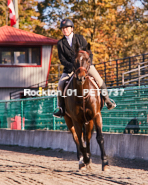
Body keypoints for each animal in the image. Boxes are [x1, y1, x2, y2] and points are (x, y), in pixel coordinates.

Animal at [62, 42, 108, 171]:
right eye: (74, 60)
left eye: (88, 60)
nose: (80, 78)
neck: (82, 94)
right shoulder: (76, 120)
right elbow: (80, 141)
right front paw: (85, 160)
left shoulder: (96, 115)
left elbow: (100, 138)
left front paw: (105, 163)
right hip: (69, 120)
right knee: (77, 139)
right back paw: (82, 160)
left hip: (89, 121)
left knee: (87, 137)